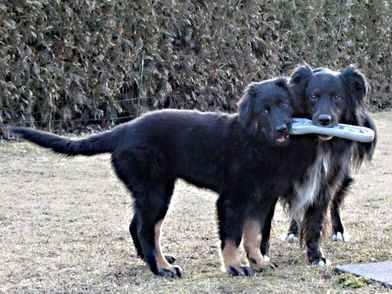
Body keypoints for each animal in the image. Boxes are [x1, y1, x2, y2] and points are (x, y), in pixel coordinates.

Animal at [9, 76, 300, 278]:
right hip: (156, 191)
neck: (256, 142)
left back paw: (157, 262)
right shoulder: (232, 199)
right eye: (264, 110)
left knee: (137, 226)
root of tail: (122, 130)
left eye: (285, 105)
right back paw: (161, 269)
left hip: (151, 190)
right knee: (146, 229)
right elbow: (232, 237)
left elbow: (254, 234)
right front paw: (234, 267)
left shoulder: (260, 199)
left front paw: (259, 262)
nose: (282, 128)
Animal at [258, 65, 376, 266]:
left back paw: (338, 231)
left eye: (337, 97)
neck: (318, 143)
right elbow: (264, 223)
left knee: (334, 204)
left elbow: (316, 221)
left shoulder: (324, 183)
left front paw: (316, 256)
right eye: (313, 96)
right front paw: (261, 254)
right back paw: (292, 231)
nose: (324, 120)